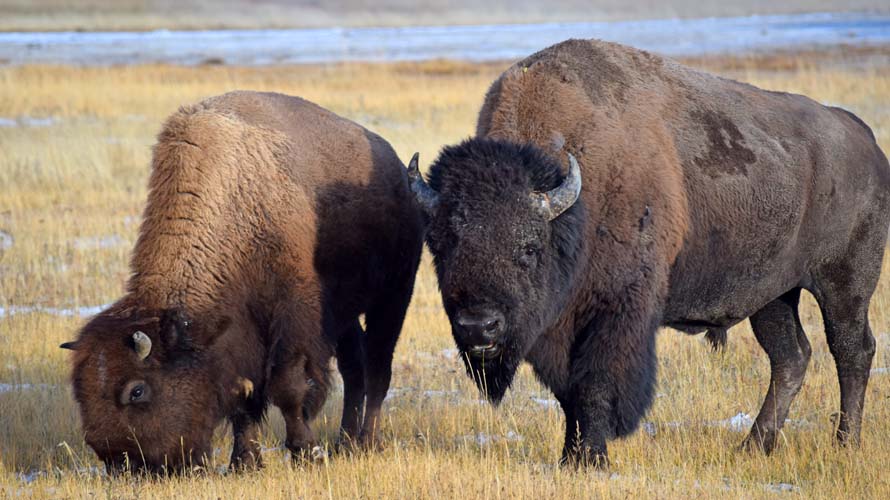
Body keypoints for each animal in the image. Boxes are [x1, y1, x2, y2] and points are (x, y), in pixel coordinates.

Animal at [60, 91, 424, 473]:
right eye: (79, 389)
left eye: (137, 390)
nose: (120, 461)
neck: (234, 199)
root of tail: (397, 169)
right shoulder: (243, 335)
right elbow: (245, 399)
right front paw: (245, 462)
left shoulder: (293, 318)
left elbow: (289, 388)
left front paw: (305, 452)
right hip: (345, 314)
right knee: (354, 370)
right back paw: (345, 443)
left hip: (393, 296)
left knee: (377, 367)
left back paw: (366, 441)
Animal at [406, 39, 890, 467]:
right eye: (441, 246)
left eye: (528, 247)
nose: (479, 326)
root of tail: (864, 139)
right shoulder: (559, 330)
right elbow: (568, 394)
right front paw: (569, 458)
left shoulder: (616, 312)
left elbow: (595, 384)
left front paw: (591, 460)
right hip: (773, 295)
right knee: (791, 357)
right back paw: (754, 447)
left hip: (843, 285)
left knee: (851, 350)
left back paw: (845, 443)